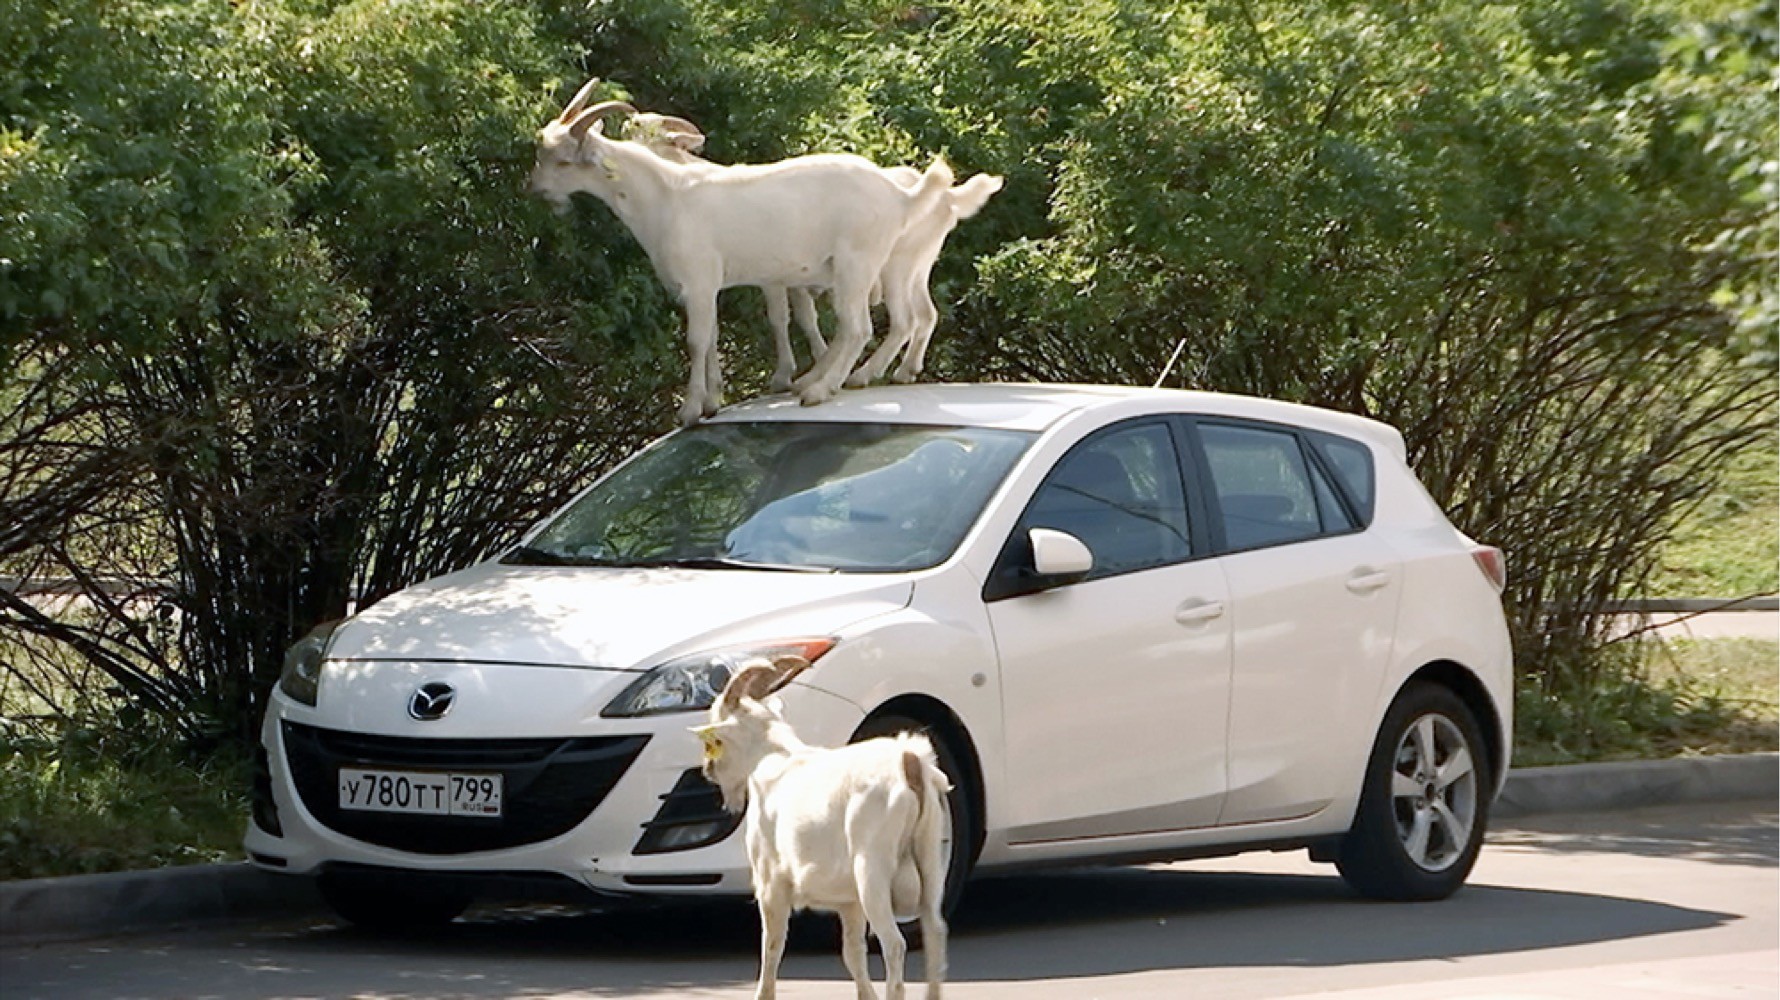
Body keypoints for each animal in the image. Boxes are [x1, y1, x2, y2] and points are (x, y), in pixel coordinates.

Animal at [526, 77, 954, 419]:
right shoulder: (707, 288)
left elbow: (697, 341)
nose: (536, 190)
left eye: (562, 161)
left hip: (860, 265)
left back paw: (824, 388)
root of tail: (901, 196)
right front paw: (713, 401)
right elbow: (713, 337)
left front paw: (690, 410)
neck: (667, 195)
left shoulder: (699, 281)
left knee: (862, 327)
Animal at [619, 109, 996, 389]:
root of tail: (946, 198)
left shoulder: (774, 278)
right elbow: (804, 317)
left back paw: (863, 375)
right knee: (926, 313)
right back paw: (905, 371)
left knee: (906, 319)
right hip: (917, 266)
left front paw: (785, 376)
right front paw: (812, 365)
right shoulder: (794, 278)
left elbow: (781, 318)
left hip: (893, 266)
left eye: (649, 134)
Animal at [694, 654, 954, 996]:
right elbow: (852, 954)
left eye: (715, 740)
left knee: (895, 944)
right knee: (935, 931)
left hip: (872, 870)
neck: (774, 760)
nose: (707, 769)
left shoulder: (771, 883)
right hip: (930, 856)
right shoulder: (849, 902)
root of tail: (910, 764)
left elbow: (772, 948)